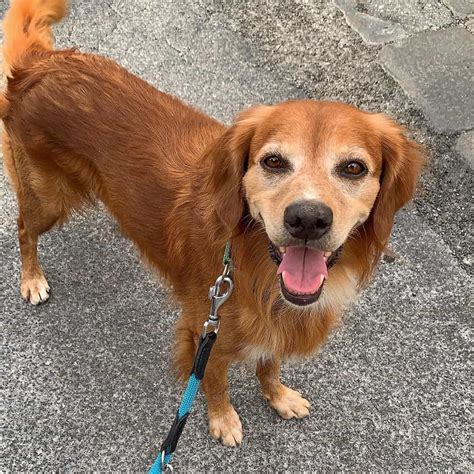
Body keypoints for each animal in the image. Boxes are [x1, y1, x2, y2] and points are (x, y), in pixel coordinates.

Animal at [0, 0, 422, 446]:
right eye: (273, 161)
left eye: (353, 168)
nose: (307, 219)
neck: (252, 264)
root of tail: (39, 64)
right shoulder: (206, 332)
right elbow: (215, 381)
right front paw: (223, 419)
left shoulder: (272, 324)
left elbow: (269, 364)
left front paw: (278, 396)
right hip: (49, 198)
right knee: (23, 228)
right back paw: (32, 279)